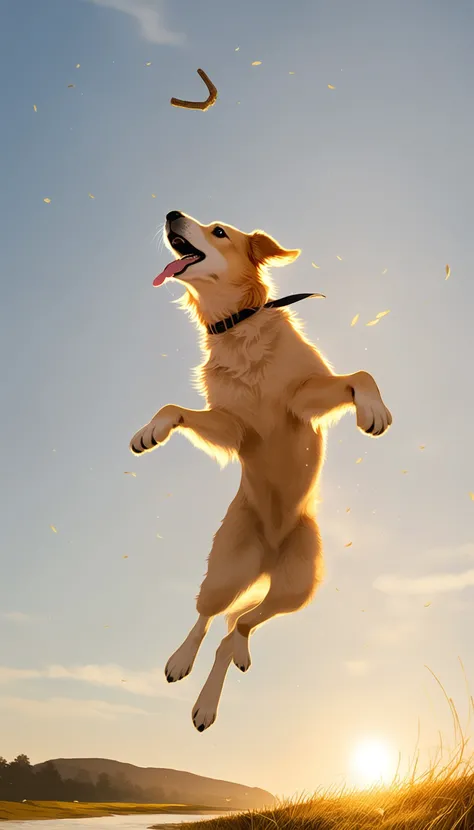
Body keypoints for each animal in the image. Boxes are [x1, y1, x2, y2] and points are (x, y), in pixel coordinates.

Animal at [131, 211, 392, 732]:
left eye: (219, 231)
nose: (171, 213)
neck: (237, 327)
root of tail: (267, 558)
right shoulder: (234, 428)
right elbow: (173, 407)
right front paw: (151, 432)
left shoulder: (303, 400)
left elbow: (361, 375)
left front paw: (372, 409)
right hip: (227, 571)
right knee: (210, 618)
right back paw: (181, 662)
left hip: (295, 590)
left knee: (238, 625)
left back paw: (215, 689)